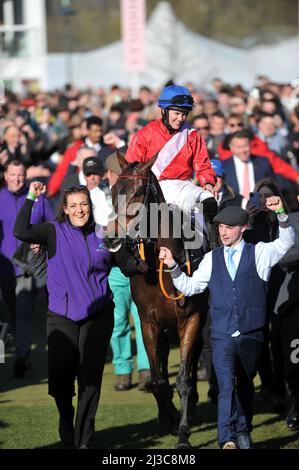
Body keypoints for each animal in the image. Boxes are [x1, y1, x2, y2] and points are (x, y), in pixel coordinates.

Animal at [106, 153, 210, 448]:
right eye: (113, 191)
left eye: (138, 192)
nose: (112, 238)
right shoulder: (148, 323)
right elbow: (157, 379)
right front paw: (167, 418)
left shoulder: (191, 319)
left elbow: (183, 378)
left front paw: (184, 432)